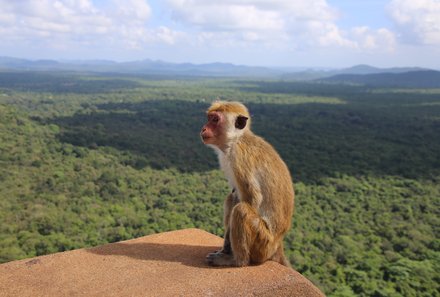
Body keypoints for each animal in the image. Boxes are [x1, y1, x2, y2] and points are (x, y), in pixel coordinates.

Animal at [201, 100, 294, 268]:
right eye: (209, 118)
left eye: (215, 120)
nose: (204, 128)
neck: (236, 139)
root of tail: (277, 245)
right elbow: (236, 194)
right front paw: (226, 247)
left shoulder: (238, 157)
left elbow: (252, 198)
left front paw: (229, 251)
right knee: (231, 198)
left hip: (262, 243)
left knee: (241, 210)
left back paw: (237, 260)